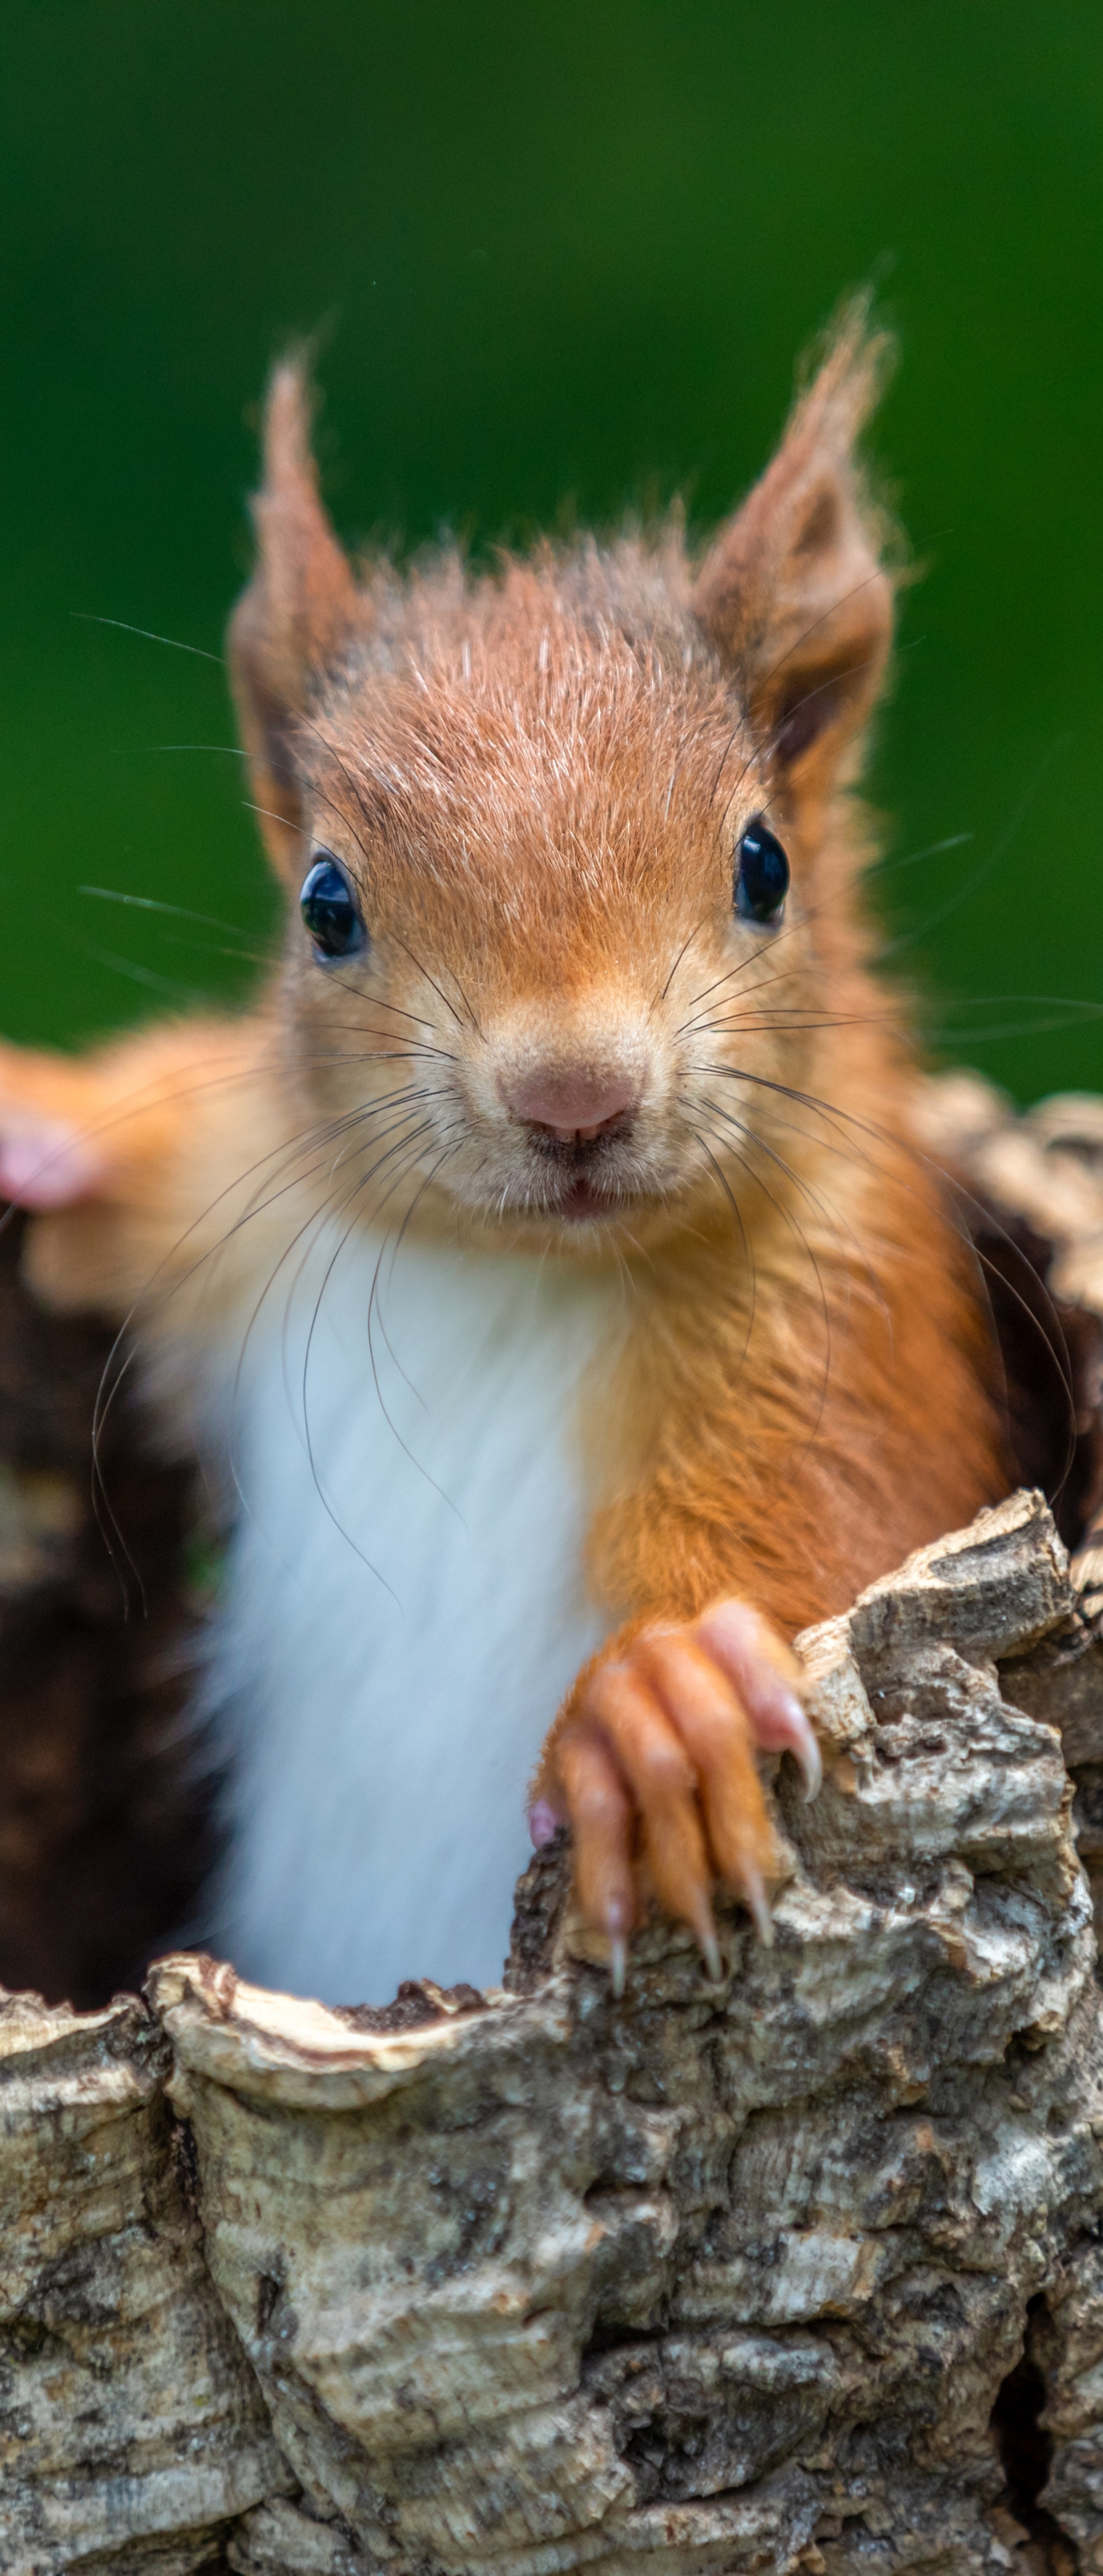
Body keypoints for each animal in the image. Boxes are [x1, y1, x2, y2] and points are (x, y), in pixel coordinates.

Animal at [0, 301, 1010, 1988]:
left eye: (763, 864)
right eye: (325, 904)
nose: (573, 1100)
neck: (515, 1272)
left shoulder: (837, 1313)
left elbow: (833, 1520)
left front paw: (661, 1697)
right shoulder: (241, 1197)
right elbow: (159, 1127)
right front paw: (38, 1106)